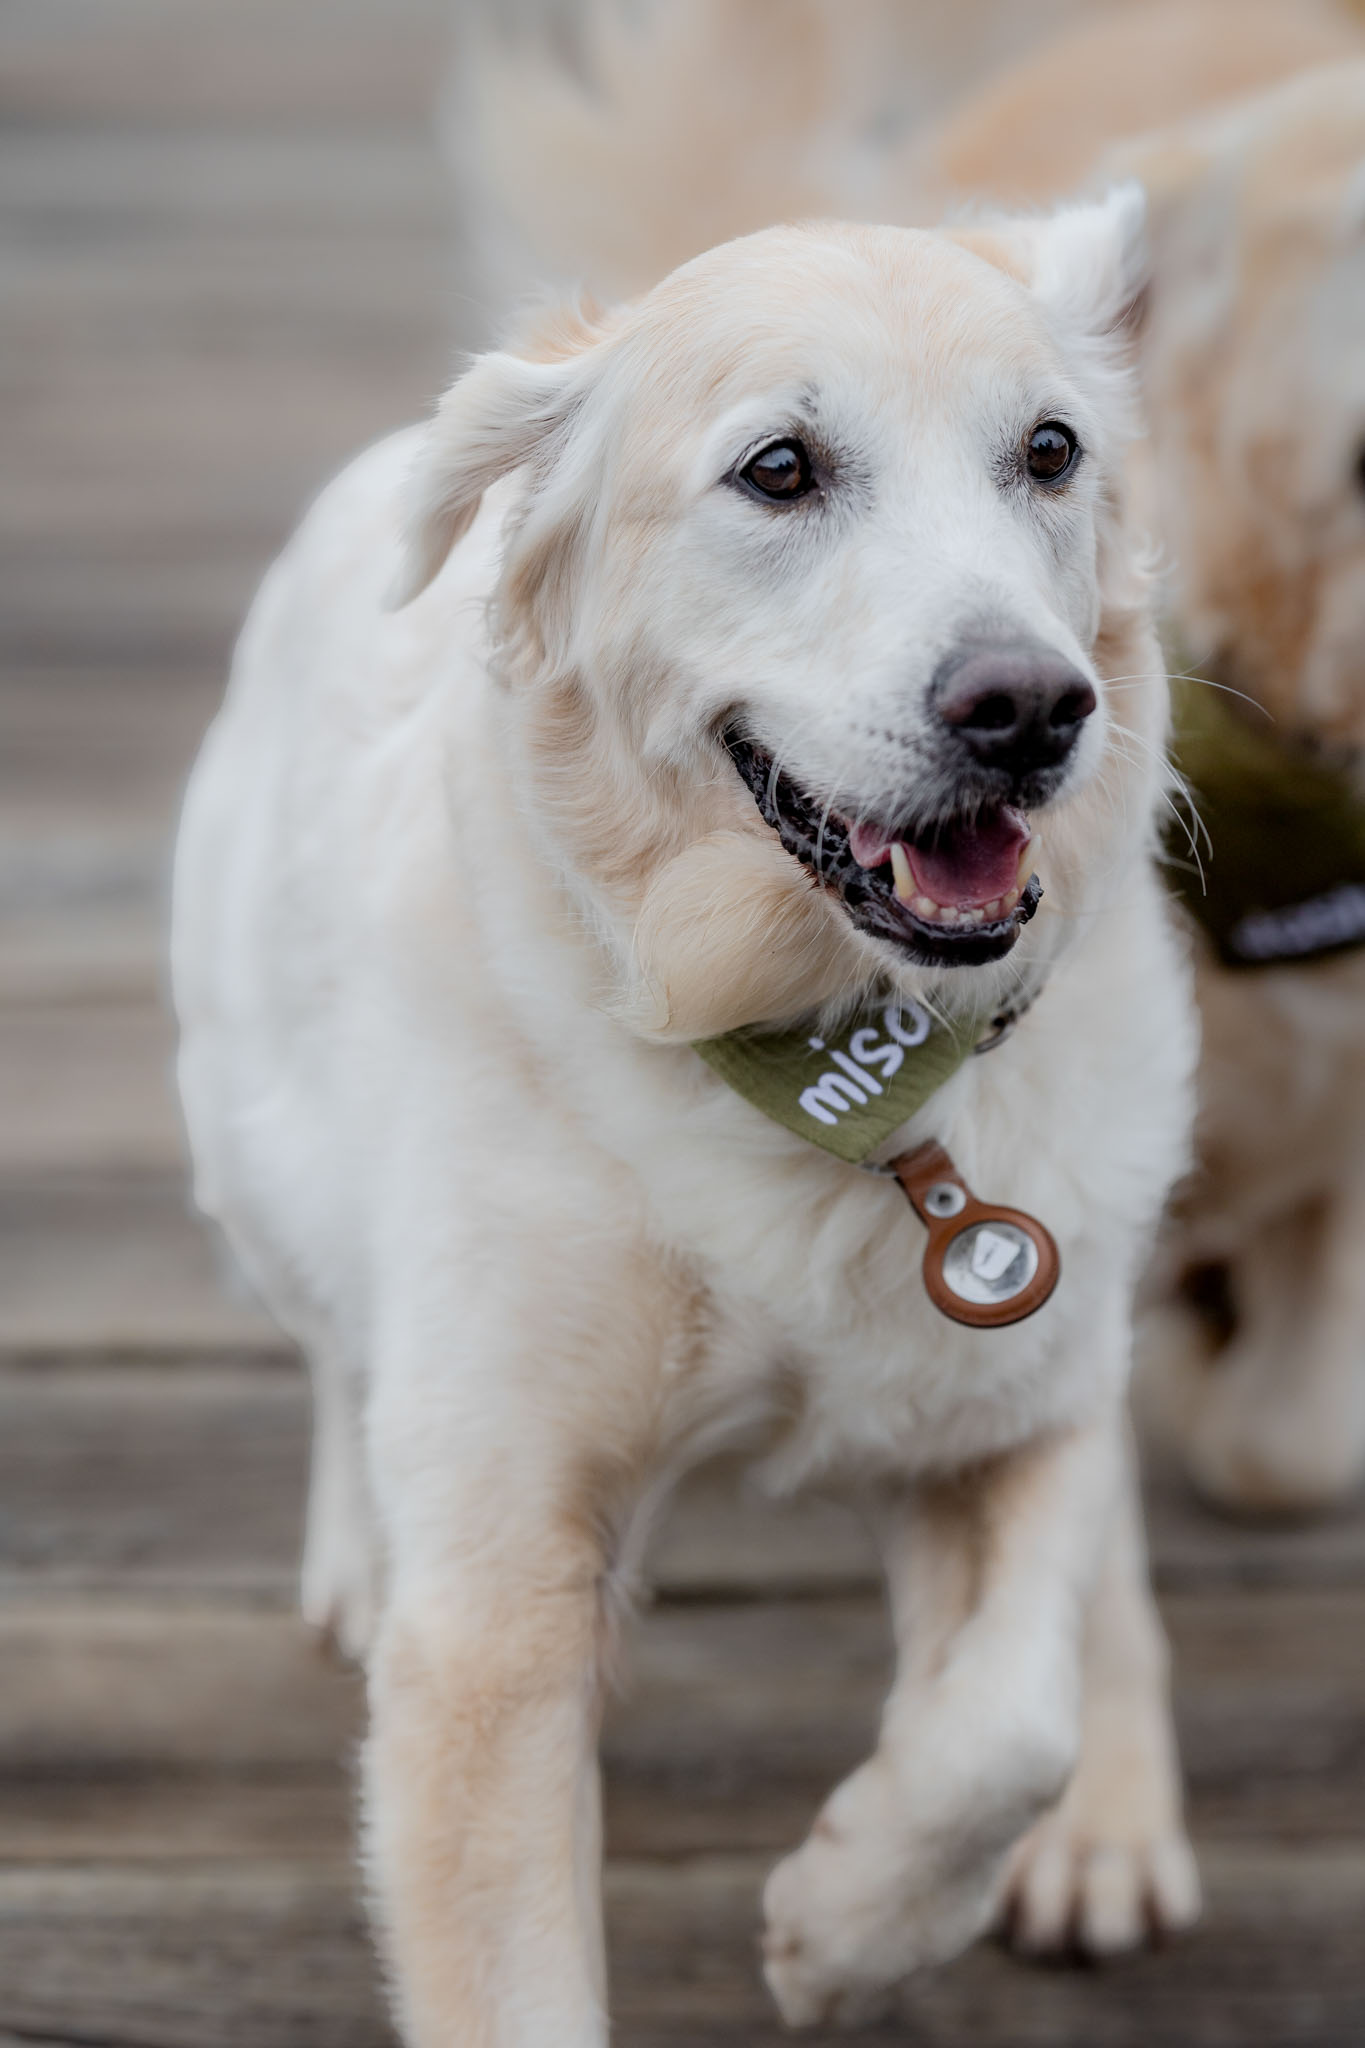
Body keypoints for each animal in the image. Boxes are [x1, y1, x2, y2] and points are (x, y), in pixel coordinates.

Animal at [173, 195, 1200, 2036]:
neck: (817, 1047)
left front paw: (846, 1921)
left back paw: (1106, 1824)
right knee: (335, 1343)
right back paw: (357, 1548)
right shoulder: (497, 1585)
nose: (1031, 708)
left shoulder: (1011, 1374)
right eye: (779, 469)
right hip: (255, 1145)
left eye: (1050, 451)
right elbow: (512, 1969)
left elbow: (1006, 1718)